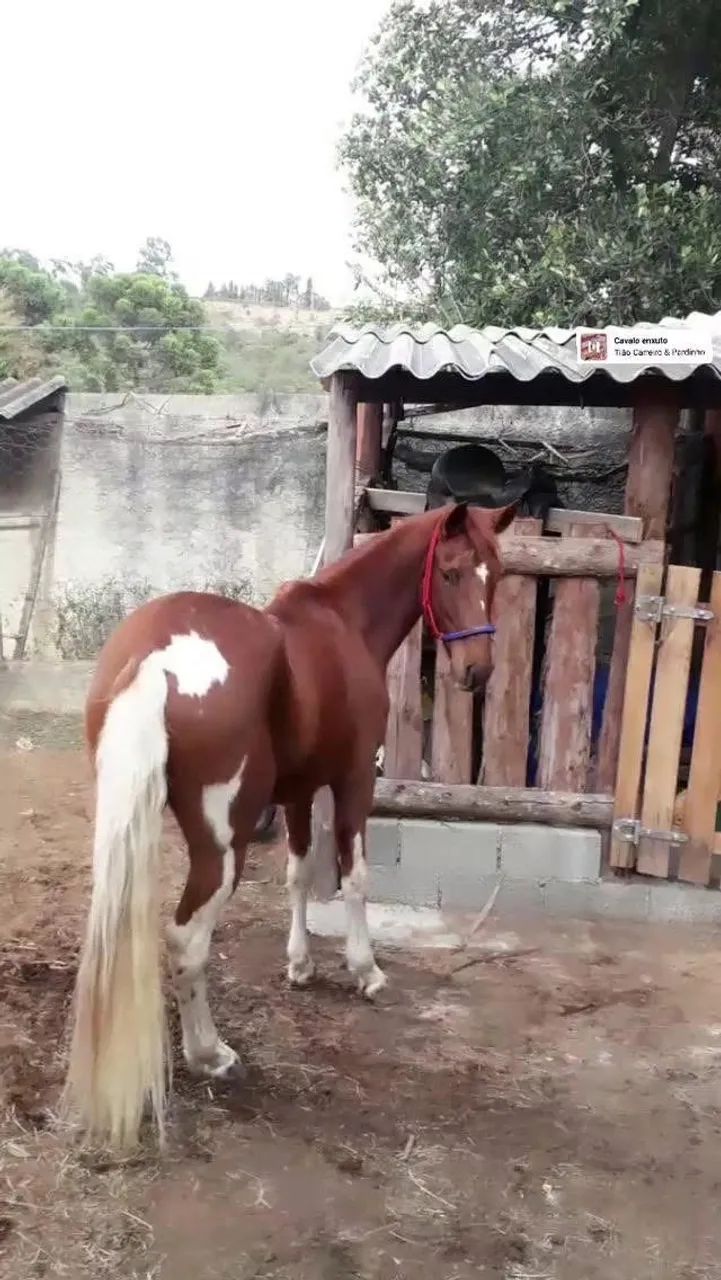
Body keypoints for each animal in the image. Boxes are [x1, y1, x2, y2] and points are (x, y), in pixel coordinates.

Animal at [63, 499, 515, 1151]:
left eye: (496, 574)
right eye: (451, 572)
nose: (477, 672)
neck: (342, 622)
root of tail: (156, 658)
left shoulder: (299, 792)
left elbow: (299, 874)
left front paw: (300, 964)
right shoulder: (354, 782)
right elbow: (353, 878)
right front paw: (365, 970)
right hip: (222, 846)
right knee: (187, 940)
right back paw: (211, 1054)